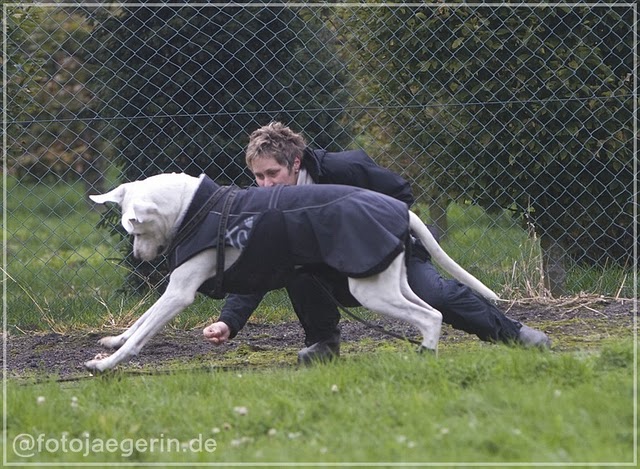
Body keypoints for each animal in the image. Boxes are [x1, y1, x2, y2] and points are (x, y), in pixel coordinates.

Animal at [84, 171, 500, 370]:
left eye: (135, 229)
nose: (138, 256)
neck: (196, 206)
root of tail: (398, 208)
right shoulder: (172, 291)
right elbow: (140, 321)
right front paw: (114, 341)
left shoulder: (179, 292)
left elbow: (144, 332)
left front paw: (107, 364)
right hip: (392, 283)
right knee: (433, 311)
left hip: (372, 291)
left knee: (431, 316)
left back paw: (425, 356)